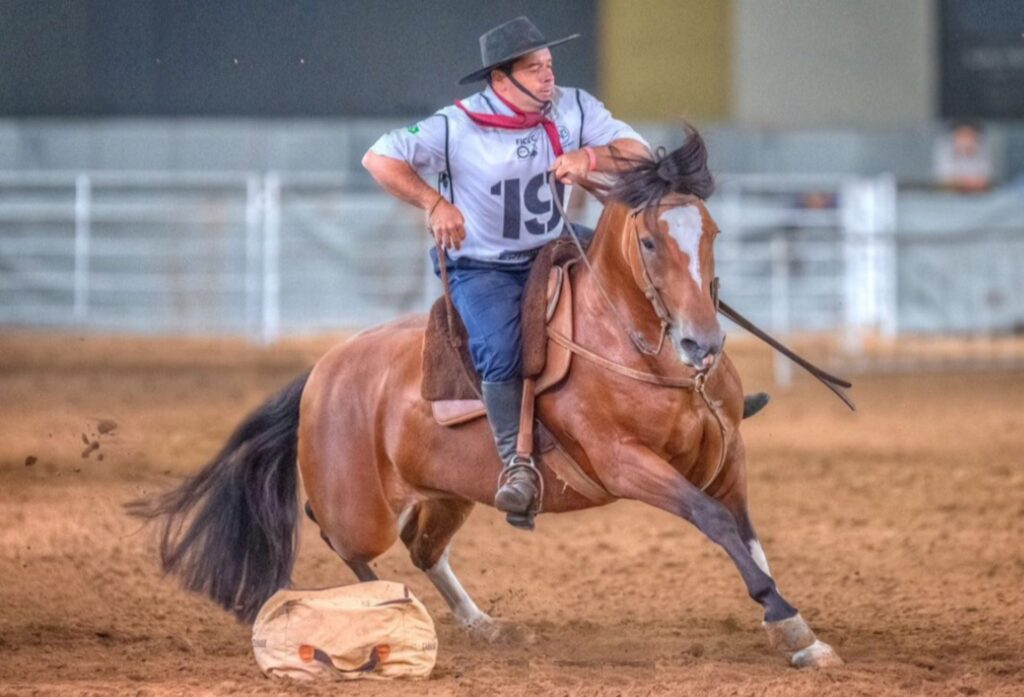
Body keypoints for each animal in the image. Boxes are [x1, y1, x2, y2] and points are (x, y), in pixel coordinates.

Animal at [131, 130, 843, 669]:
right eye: (649, 241)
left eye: (711, 233)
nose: (703, 343)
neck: (636, 348)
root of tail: (321, 372)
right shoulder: (625, 463)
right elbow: (716, 522)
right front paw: (785, 617)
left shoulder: (727, 457)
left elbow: (746, 532)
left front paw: (795, 630)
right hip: (359, 507)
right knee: (341, 537)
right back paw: (383, 613)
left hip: (449, 493)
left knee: (422, 547)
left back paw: (479, 624)